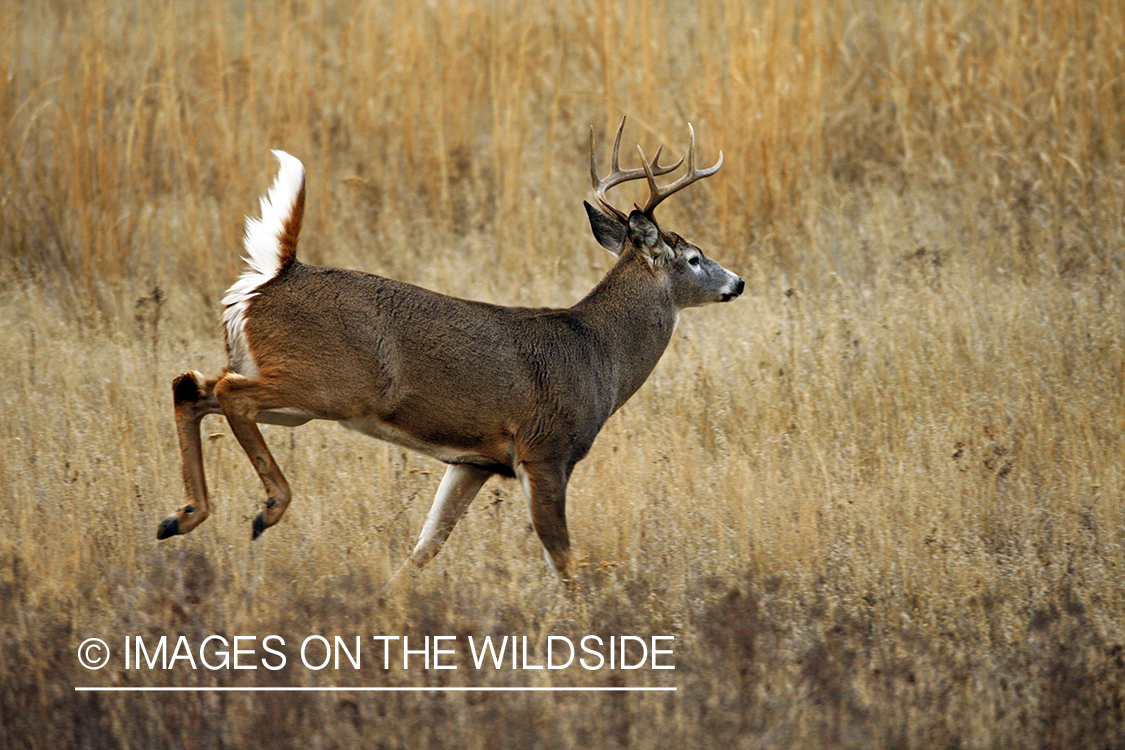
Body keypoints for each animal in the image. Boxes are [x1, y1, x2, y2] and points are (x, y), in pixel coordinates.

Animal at [156, 117, 738, 580]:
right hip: (330, 385)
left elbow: (425, 546)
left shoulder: (474, 460)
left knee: (191, 385)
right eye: (693, 258)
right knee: (229, 393)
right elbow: (564, 559)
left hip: (289, 386)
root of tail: (273, 276)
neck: (598, 353)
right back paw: (267, 508)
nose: (738, 282)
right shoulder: (545, 448)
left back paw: (180, 517)